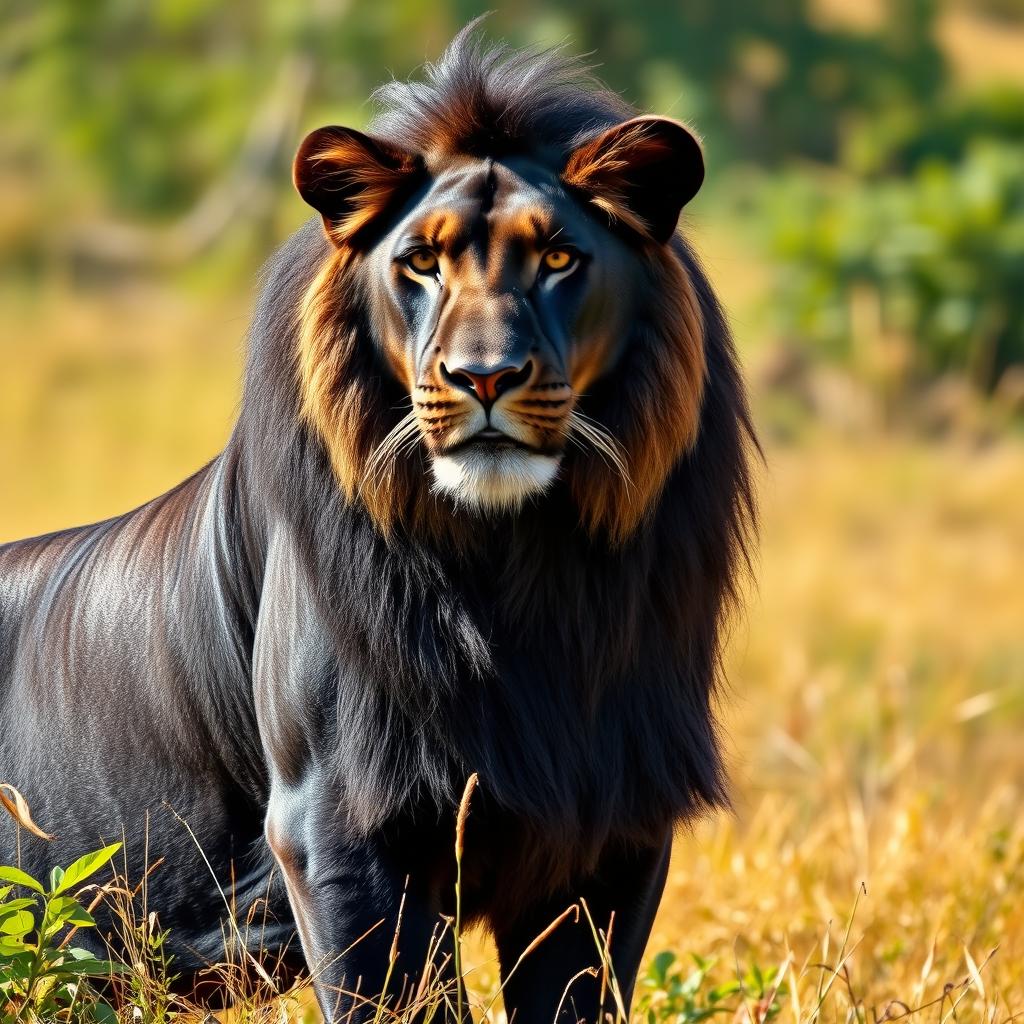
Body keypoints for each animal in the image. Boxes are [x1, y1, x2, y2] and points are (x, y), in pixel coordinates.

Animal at [0, 26, 757, 1022]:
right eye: (420, 263)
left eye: (559, 259)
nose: (484, 376)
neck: (521, 564)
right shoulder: (336, 827)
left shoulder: (612, 826)